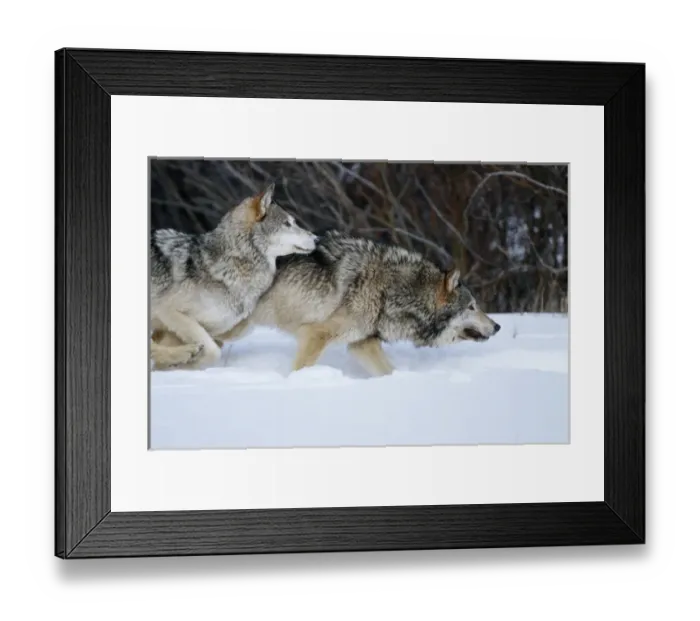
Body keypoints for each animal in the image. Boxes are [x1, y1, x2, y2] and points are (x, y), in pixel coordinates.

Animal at [150, 183, 317, 369]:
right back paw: (187, 353)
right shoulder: (168, 311)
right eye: (287, 223)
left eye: (292, 223)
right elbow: (213, 352)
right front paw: (187, 365)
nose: (317, 239)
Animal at [220, 230, 501, 376]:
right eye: (471, 307)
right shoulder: (315, 334)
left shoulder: (362, 343)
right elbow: (300, 367)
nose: (498, 326)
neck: (392, 291)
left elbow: (388, 371)